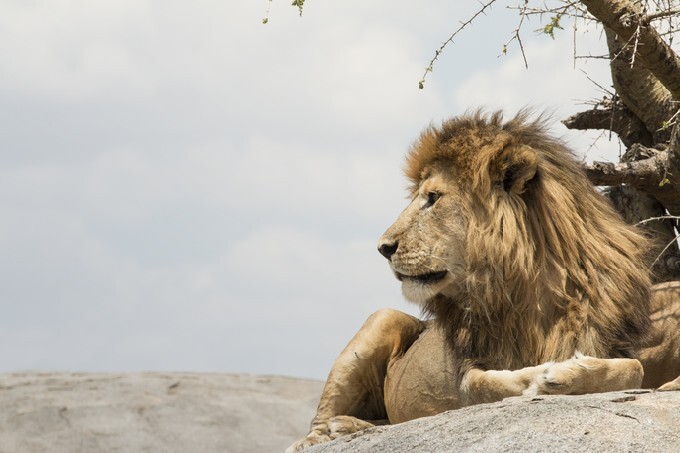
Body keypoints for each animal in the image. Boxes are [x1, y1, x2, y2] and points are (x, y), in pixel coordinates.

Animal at [287, 111, 680, 452]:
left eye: (432, 198)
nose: (383, 247)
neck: (532, 290)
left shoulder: (611, 343)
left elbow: (634, 369)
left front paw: (568, 373)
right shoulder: (469, 373)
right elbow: (487, 384)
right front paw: (542, 378)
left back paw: (352, 426)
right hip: (383, 319)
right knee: (315, 424)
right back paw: (329, 432)